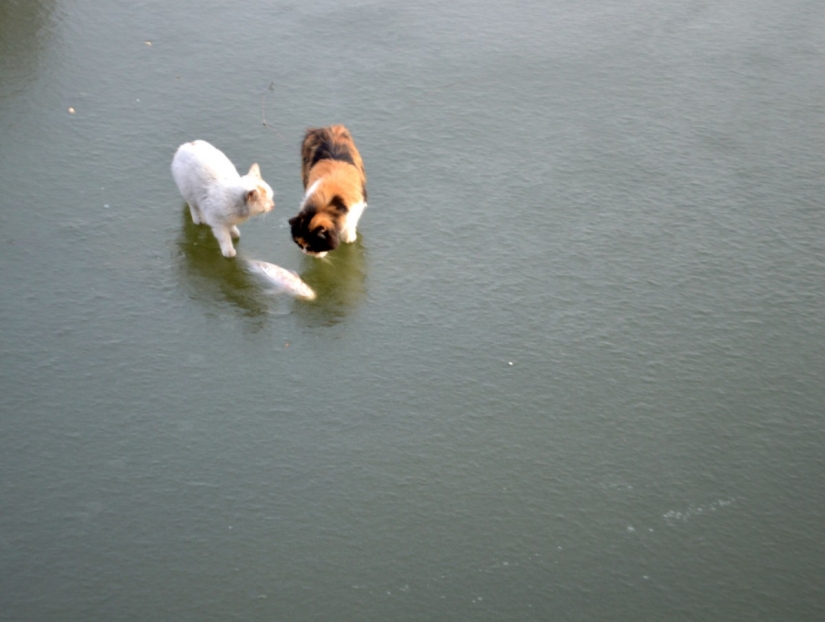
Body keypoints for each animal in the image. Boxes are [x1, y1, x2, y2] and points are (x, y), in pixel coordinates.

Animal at [290, 125, 366, 258]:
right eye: (300, 244)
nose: (305, 252)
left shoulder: (356, 208)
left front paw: (349, 239)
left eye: (312, 246)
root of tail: (328, 127)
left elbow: (350, 225)